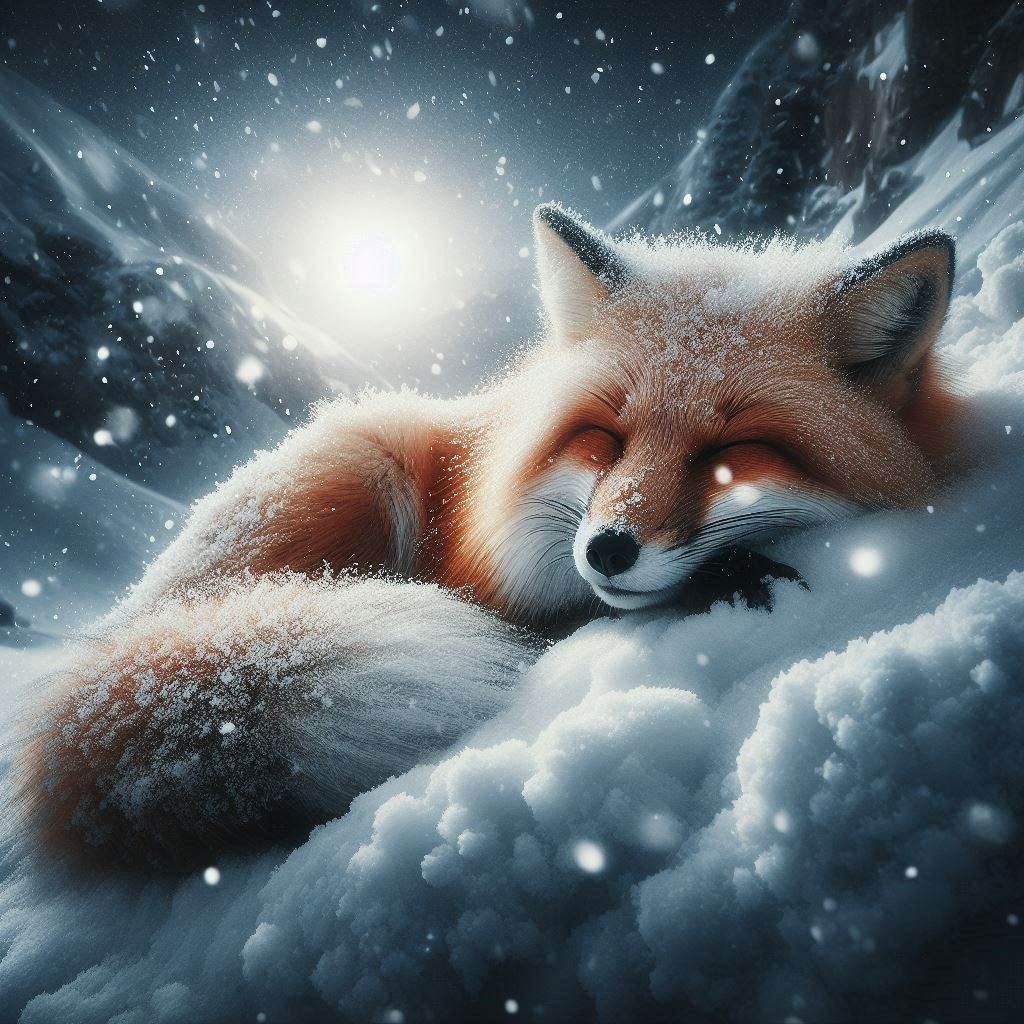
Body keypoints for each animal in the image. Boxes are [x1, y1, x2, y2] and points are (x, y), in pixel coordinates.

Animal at [19, 204, 962, 869]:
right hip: (365, 458)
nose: (607, 550)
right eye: (606, 435)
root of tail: (117, 632)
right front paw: (722, 580)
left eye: (731, 452)